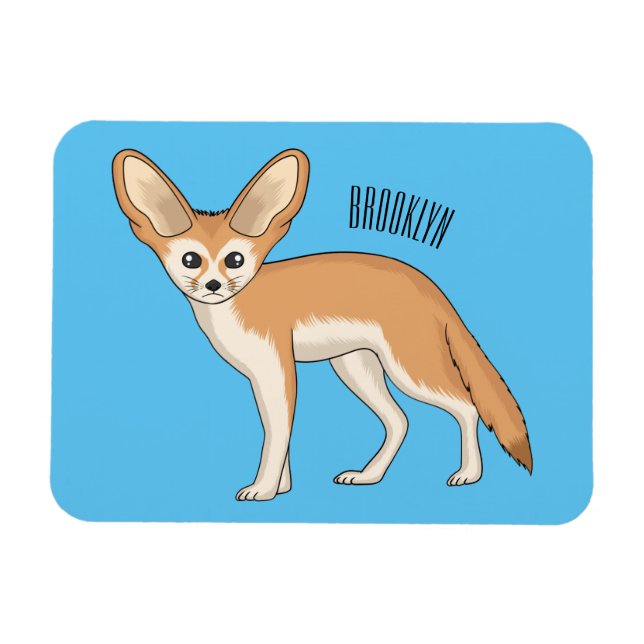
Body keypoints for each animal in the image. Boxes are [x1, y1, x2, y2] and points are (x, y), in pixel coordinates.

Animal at [112, 147, 532, 501]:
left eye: (234, 260)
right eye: (190, 260)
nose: (213, 286)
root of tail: (428, 284)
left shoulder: (278, 368)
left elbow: (276, 434)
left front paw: (263, 489)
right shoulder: (262, 375)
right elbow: (277, 433)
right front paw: (282, 488)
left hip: (409, 370)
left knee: (467, 407)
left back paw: (468, 474)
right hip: (355, 368)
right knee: (399, 420)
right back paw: (368, 476)